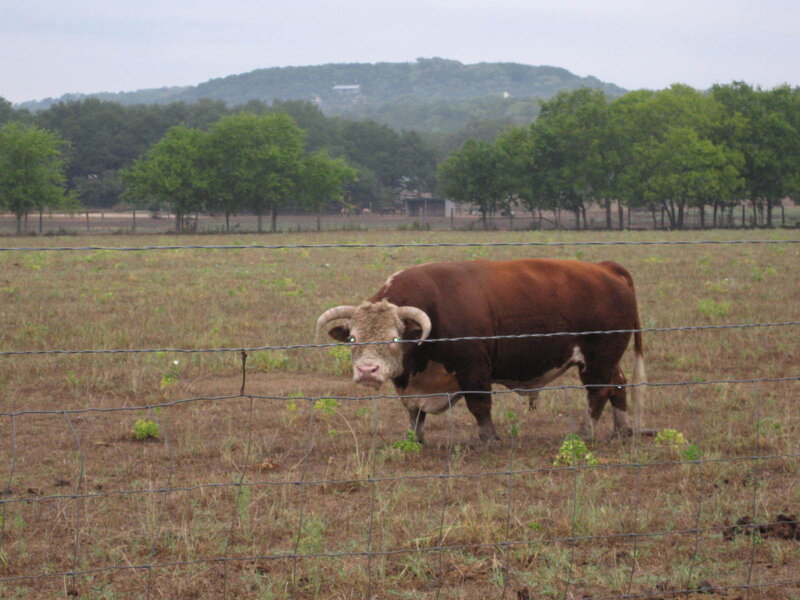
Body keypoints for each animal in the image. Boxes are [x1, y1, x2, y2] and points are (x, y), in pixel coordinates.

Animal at [315, 258, 646, 443]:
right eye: (353, 338)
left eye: (395, 338)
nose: (367, 371)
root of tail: (605, 270)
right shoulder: (412, 385)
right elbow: (414, 413)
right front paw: (414, 439)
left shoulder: (473, 369)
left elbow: (480, 406)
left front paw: (489, 439)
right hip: (609, 358)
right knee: (618, 385)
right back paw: (622, 431)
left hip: (597, 358)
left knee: (598, 393)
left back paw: (586, 433)